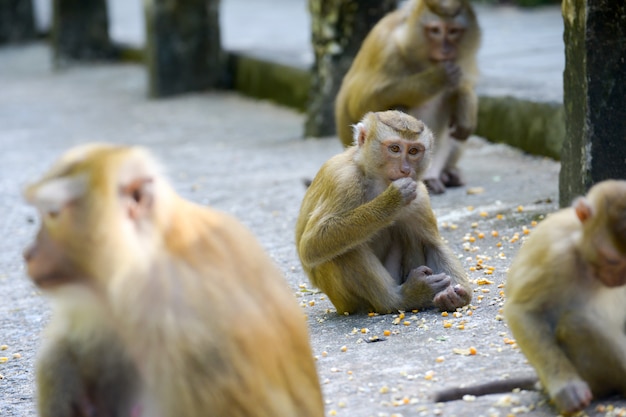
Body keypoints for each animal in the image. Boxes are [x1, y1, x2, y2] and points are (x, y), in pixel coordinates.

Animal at [294, 109, 470, 314]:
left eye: (413, 151)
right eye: (394, 149)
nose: (405, 169)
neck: (376, 182)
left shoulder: (419, 196)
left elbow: (432, 243)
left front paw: (455, 295)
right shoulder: (344, 182)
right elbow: (311, 245)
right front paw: (392, 201)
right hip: (347, 301)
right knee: (345, 248)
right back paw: (401, 298)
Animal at [334, 0, 480, 193]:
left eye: (453, 31)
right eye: (435, 30)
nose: (446, 50)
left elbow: (464, 86)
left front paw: (465, 101)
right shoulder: (385, 49)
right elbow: (359, 103)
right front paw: (437, 77)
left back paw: (445, 174)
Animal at [432, 180, 624, 414]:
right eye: (611, 259)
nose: (618, 279)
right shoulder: (556, 258)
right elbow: (523, 312)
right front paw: (567, 388)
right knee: (577, 322)